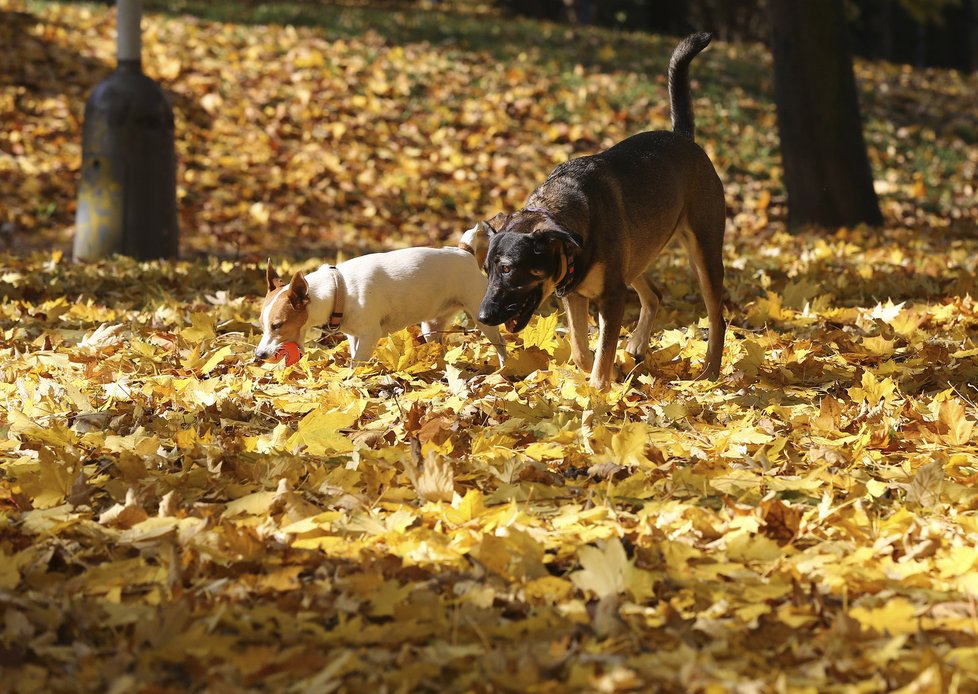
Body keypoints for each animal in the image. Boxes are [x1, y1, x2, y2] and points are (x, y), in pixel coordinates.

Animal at [255, 249, 508, 370]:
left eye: (277, 325)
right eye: (262, 326)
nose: (259, 355)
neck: (339, 289)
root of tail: (465, 253)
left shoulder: (370, 335)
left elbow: (356, 362)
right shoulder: (355, 335)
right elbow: (354, 355)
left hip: (483, 316)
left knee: (501, 345)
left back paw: (505, 370)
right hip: (431, 327)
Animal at [476, 32, 720, 392]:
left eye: (507, 269)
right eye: (487, 271)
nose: (482, 317)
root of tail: (684, 138)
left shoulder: (612, 297)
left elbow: (603, 350)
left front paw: (598, 392)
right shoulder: (575, 295)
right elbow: (580, 350)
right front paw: (605, 377)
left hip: (704, 253)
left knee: (718, 319)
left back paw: (710, 374)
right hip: (636, 253)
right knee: (655, 294)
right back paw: (637, 345)